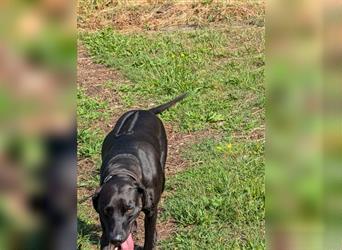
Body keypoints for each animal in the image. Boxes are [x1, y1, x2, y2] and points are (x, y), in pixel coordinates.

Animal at [92, 93, 187, 250]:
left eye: (129, 209)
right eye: (107, 211)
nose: (117, 239)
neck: (123, 168)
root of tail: (144, 111)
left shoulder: (151, 211)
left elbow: (148, 236)